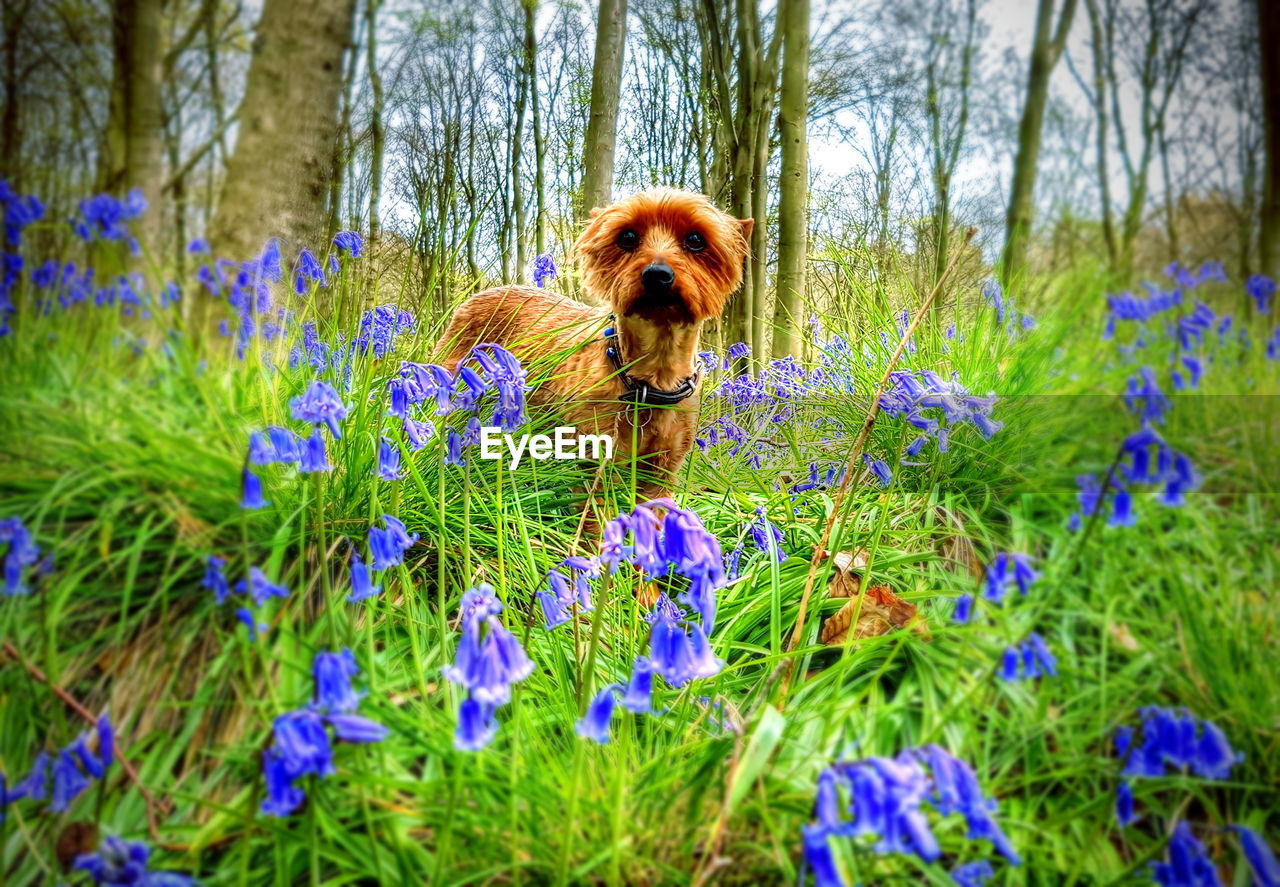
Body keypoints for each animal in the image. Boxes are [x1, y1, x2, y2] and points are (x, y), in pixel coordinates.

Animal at [442, 188, 747, 499]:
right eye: (627, 236)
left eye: (696, 240)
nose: (657, 274)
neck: (650, 379)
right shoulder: (595, 460)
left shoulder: (663, 469)